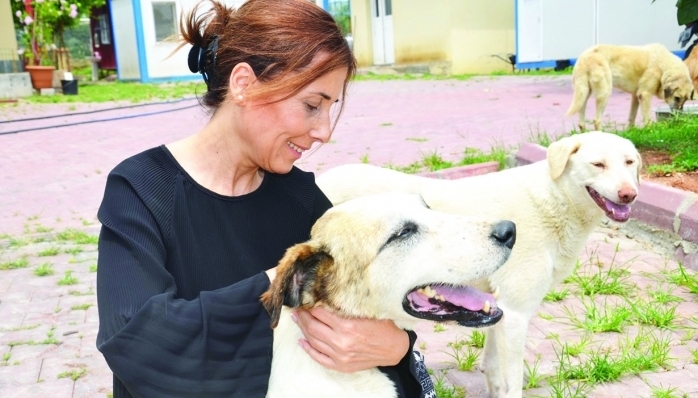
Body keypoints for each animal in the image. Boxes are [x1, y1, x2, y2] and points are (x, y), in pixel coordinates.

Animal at [312, 132, 640, 396]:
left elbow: (494, 371)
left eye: (630, 163)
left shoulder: (498, 309)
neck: (553, 199)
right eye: (598, 165)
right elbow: (513, 382)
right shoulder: (516, 313)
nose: (629, 194)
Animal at [564, 43, 692, 131]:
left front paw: (631, 132)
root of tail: (585, 58)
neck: (664, 67)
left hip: (583, 94)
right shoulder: (645, 95)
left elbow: (632, 116)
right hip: (605, 94)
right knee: (596, 120)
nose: (680, 116)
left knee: (581, 123)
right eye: (677, 98)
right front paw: (650, 130)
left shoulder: (636, 96)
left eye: (685, 100)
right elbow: (647, 117)